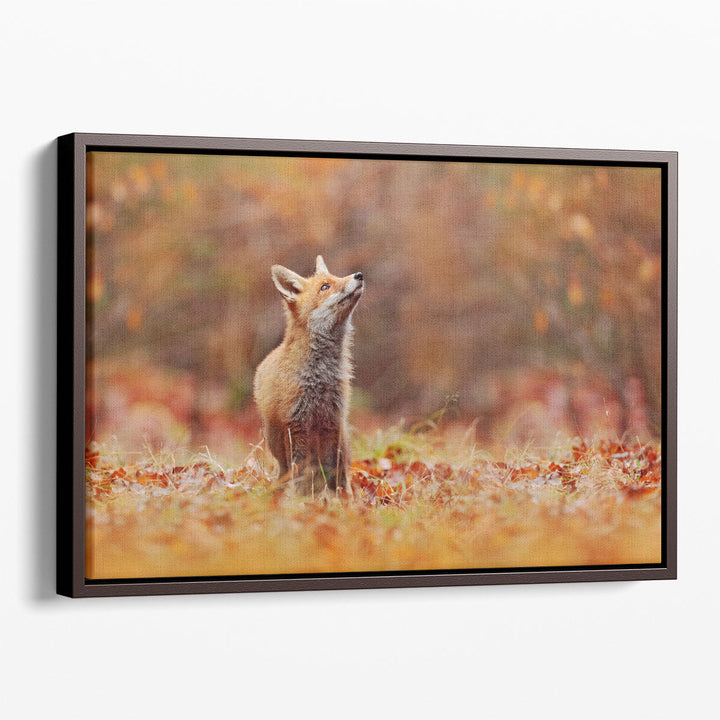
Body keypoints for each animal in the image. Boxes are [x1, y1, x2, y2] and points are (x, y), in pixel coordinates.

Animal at [253, 255, 364, 496]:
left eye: (336, 277)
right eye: (325, 287)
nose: (359, 275)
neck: (320, 377)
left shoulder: (332, 422)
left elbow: (335, 473)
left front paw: (339, 499)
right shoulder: (296, 426)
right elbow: (301, 474)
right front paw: (301, 500)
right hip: (276, 441)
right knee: (286, 470)